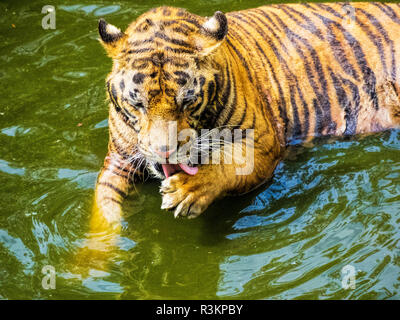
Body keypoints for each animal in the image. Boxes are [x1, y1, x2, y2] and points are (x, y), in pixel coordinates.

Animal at [92, 3, 400, 228]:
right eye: (138, 104)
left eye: (187, 101)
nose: (164, 152)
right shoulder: (118, 160)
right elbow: (101, 209)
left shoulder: (263, 144)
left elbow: (228, 162)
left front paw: (188, 189)